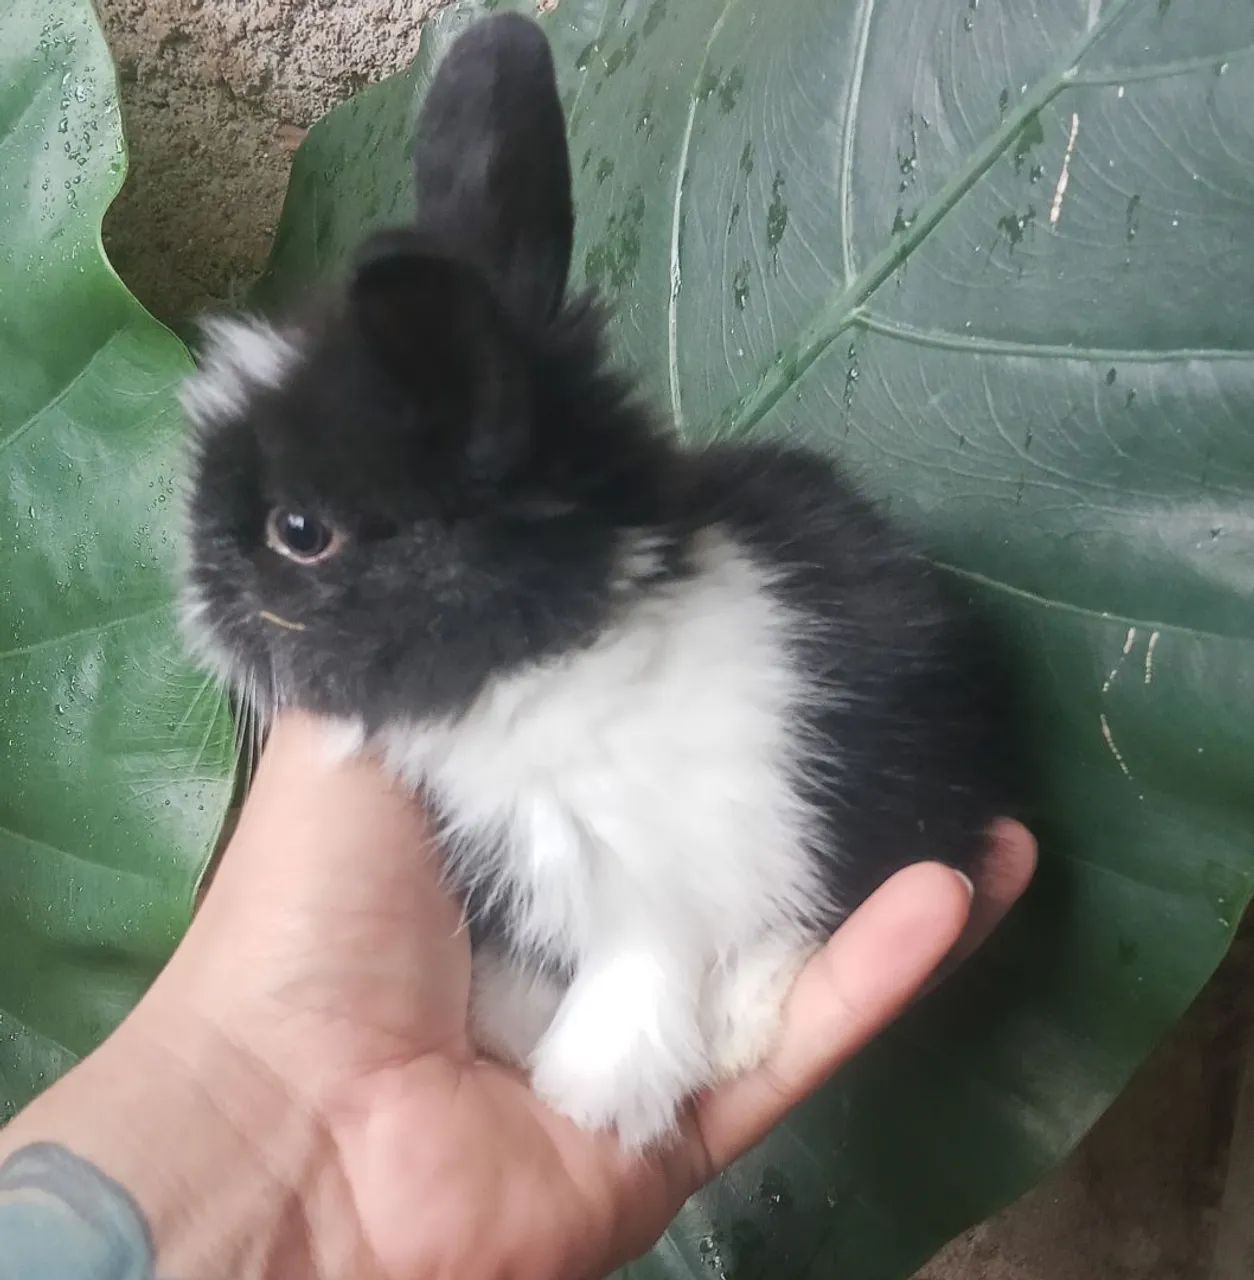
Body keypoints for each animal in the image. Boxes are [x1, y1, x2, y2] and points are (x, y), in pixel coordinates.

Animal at [178, 12, 1014, 1152]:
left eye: (297, 531)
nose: (194, 603)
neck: (561, 658)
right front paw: (510, 1023)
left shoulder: (659, 878)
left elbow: (642, 972)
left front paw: (592, 1088)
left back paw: (744, 1019)